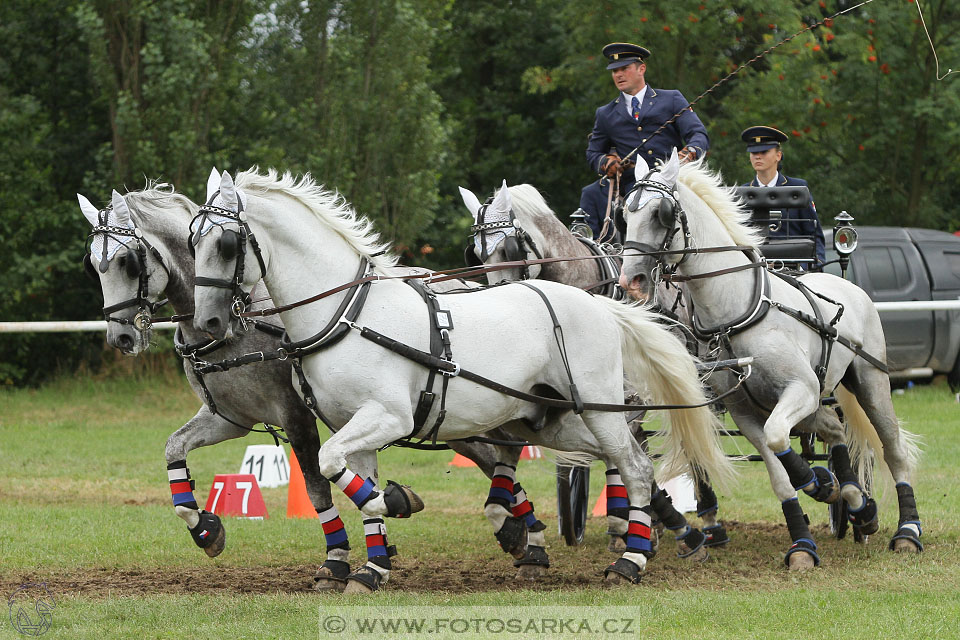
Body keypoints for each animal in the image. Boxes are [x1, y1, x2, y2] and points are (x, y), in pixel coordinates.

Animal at [82, 179, 556, 592]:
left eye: (128, 262)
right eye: (93, 265)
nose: (121, 337)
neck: (237, 331)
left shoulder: (295, 416)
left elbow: (316, 488)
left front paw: (336, 561)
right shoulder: (230, 418)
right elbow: (174, 450)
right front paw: (206, 528)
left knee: (503, 453)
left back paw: (523, 535)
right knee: (494, 457)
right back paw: (521, 534)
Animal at [186, 169, 728, 584]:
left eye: (227, 242)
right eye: (193, 242)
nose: (207, 322)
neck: (347, 315)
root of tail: (600, 303)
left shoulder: (389, 417)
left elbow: (333, 466)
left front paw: (398, 501)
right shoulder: (352, 427)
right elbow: (353, 484)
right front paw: (373, 567)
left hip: (597, 409)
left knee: (633, 465)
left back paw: (631, 559)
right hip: (550, 421)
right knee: (621, 460)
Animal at [616, 150, 924, 568]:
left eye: (660, 213)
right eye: (624, 215)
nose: (629, 281)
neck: (734, 313)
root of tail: (847, 283)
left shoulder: (800, 389)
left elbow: (780, 439)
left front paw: (817, 483)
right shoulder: (745, 411)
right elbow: (779, 474)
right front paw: (804, 540)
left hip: (870, 384)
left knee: (892, 448)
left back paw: (906, 529)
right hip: (809, 402)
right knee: (834, 429)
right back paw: (856, 502)